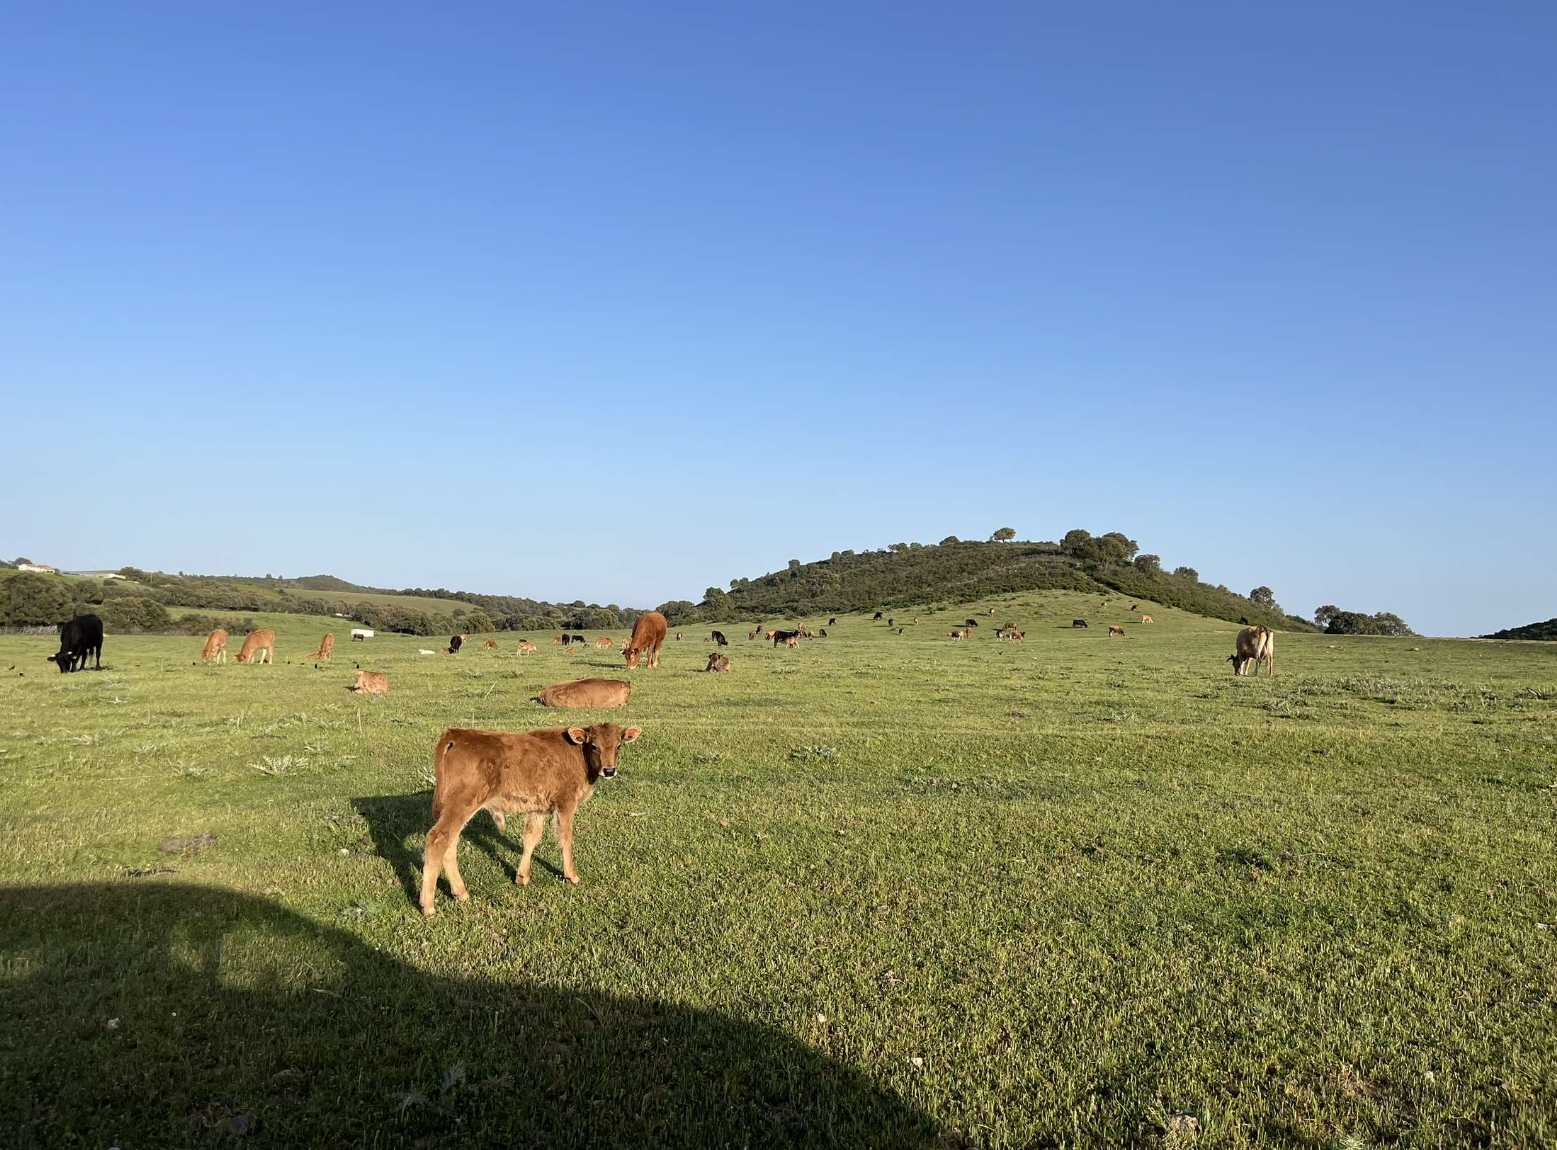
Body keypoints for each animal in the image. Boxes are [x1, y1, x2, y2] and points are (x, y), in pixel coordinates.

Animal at [419, 722, 641, 914]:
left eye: (619, 745)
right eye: (594, 745)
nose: (609, 770)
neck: (576, 753)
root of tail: (456, 734)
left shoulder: (538, 809)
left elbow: (531, 838)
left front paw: (522, 876)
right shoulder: (566, 803)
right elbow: (565, 838)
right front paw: (572, 875)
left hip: (455, 809)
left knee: (450, 843)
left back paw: (461, 893)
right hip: (462, 805)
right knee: (438, 838)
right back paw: (428, 905)